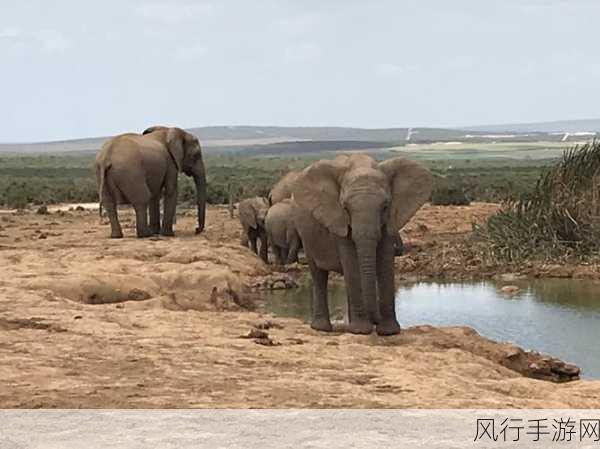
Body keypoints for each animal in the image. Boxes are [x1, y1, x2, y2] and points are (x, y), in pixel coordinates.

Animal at [290, 153, 432, 332]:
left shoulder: (389, 220)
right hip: (306, 236)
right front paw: (361, 331)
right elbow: (351, 262)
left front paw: (389, 332)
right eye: (345, 207)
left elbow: (385, 261)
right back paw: (323, 328)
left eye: (385, 207)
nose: (375, 322)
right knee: (319, 275)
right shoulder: (338, 221)